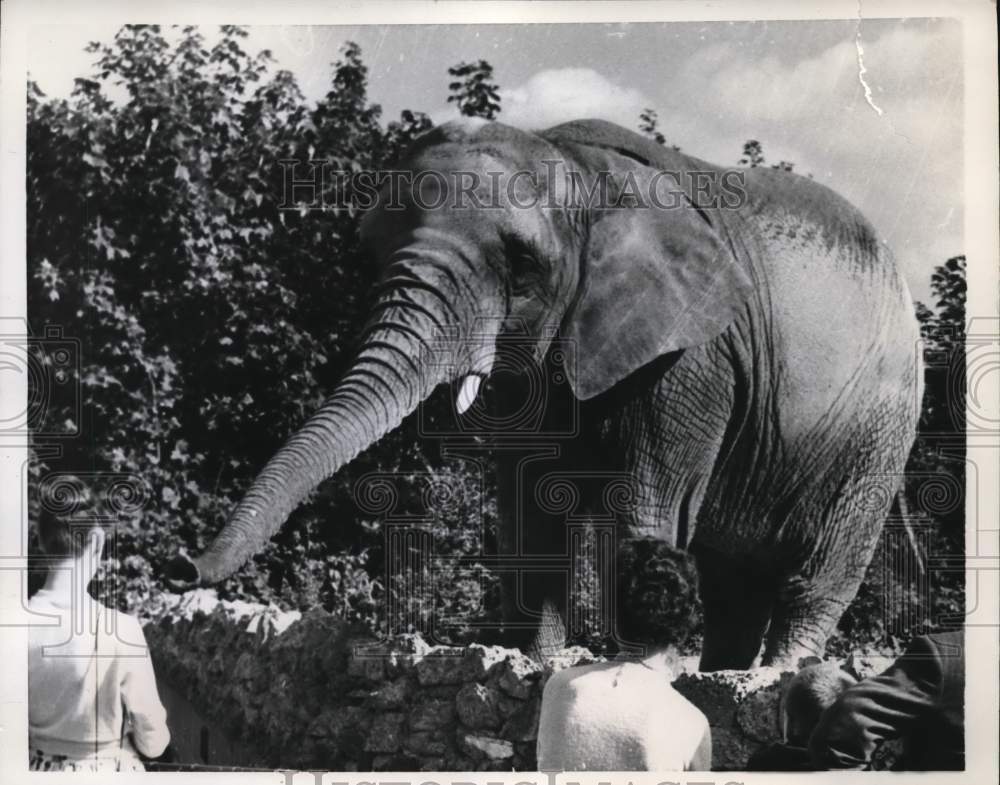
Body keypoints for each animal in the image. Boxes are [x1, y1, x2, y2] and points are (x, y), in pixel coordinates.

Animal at [164, 119, 920, 672]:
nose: (183, 564)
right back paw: (725, 672)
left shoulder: (693, 357)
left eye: (522, 267)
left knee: (815, 570)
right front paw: (533, 661)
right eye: (372, 249)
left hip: (878, 428)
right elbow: (526, 502)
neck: (579, 170)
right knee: (736, 580)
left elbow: (648, 506)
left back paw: (771, 674)